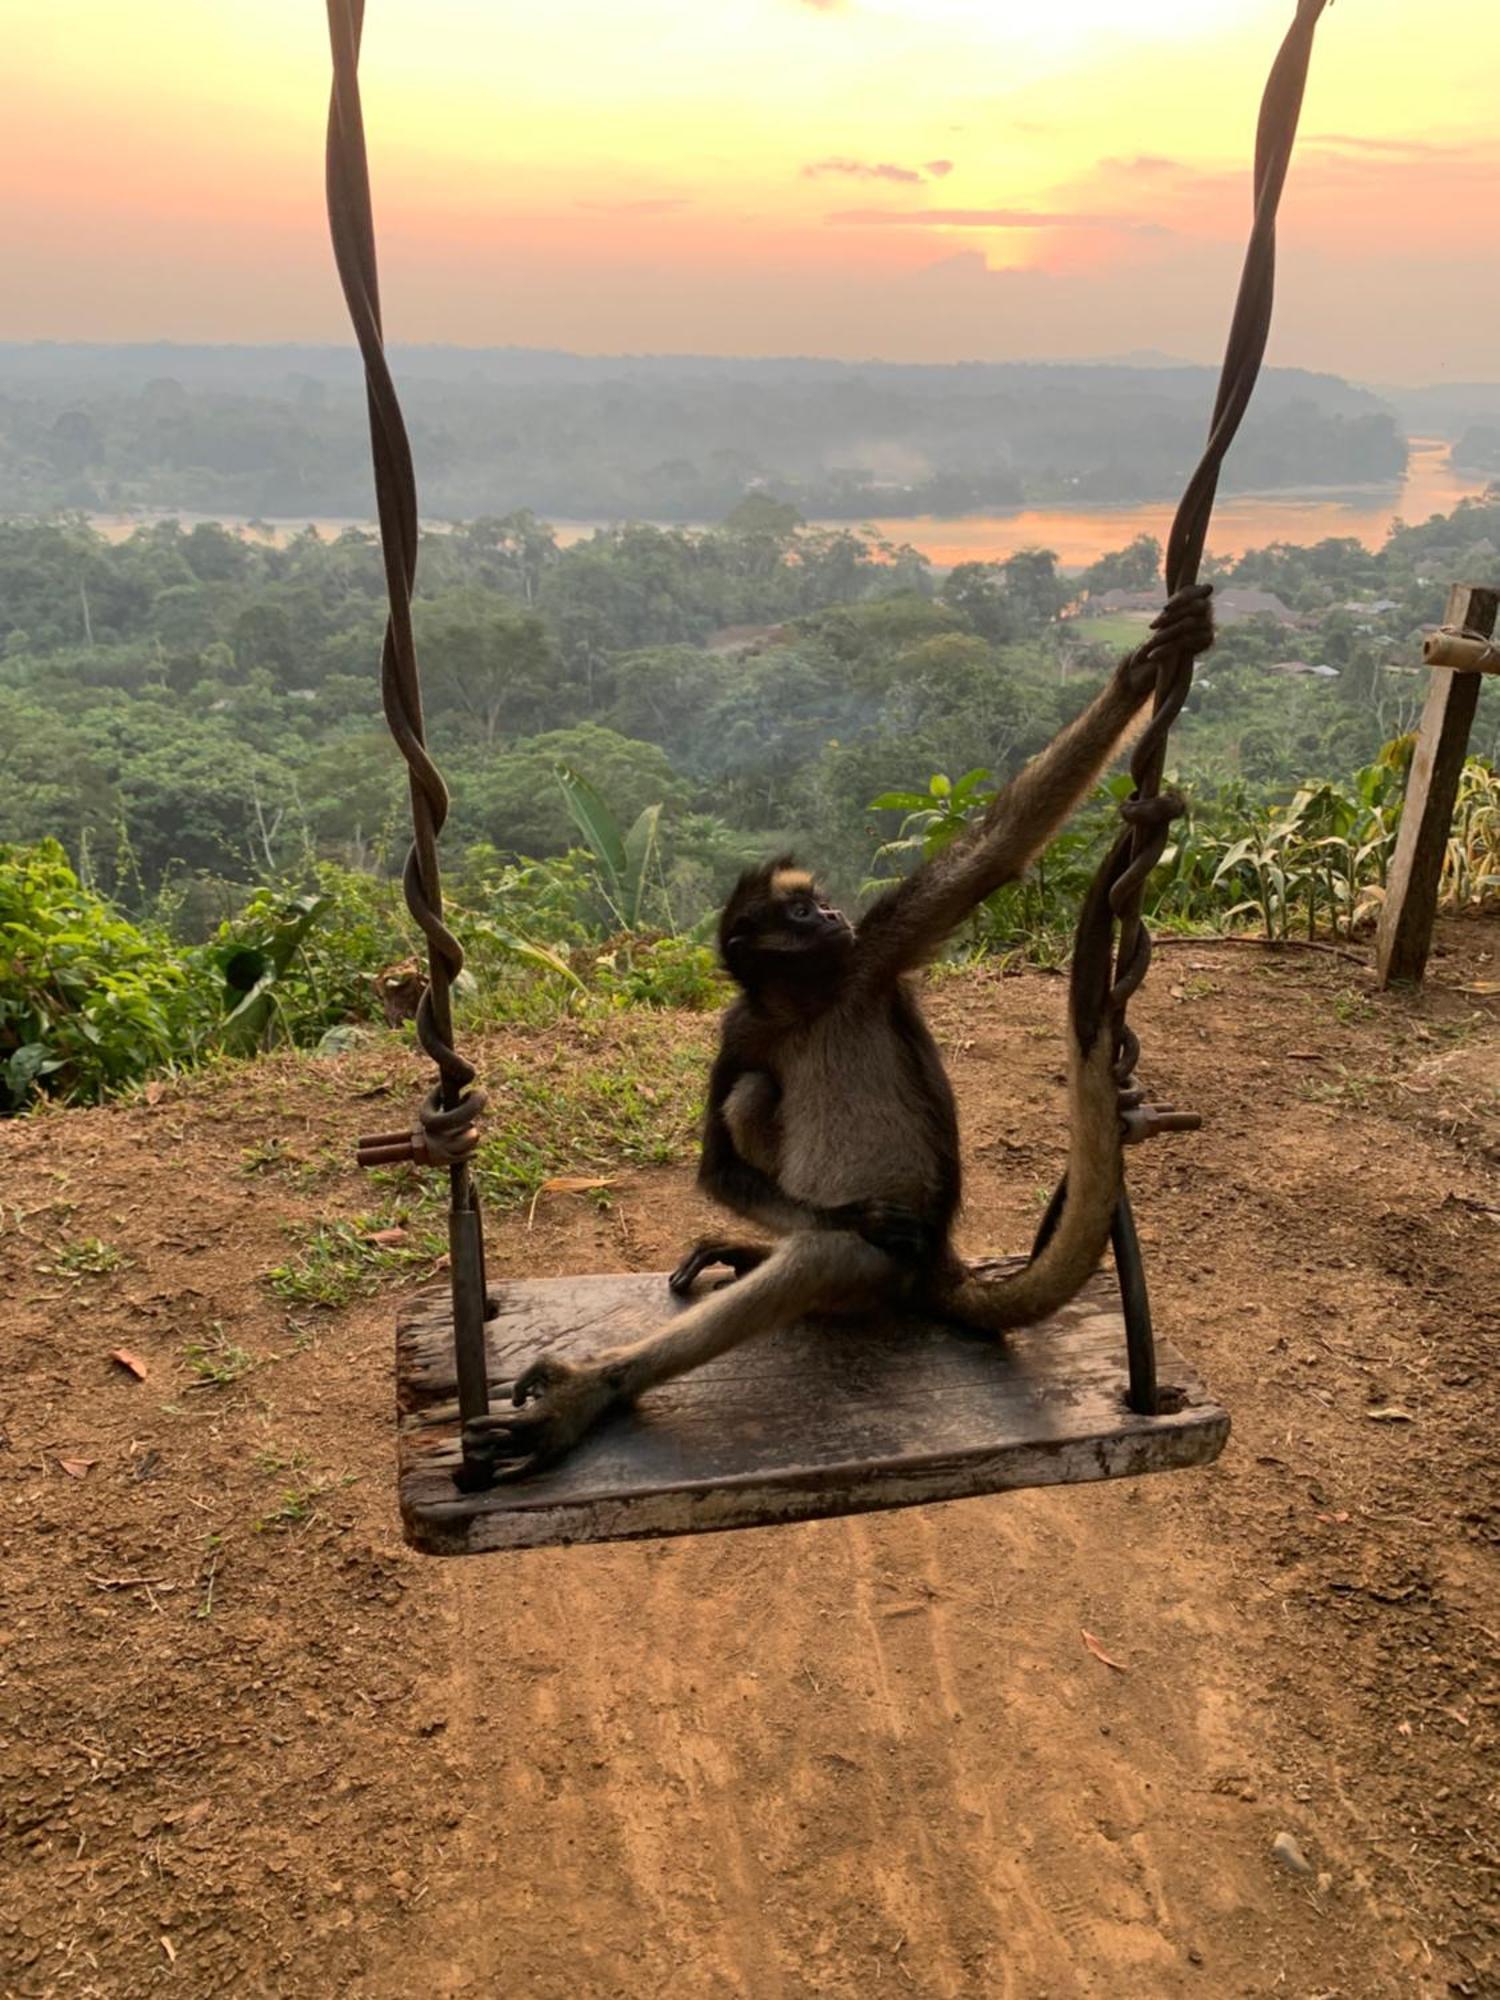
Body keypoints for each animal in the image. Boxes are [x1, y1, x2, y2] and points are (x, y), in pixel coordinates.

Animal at [472, 584, 1224, 1480]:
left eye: (822, 902)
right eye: (799, 912)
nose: (828, 915)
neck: (812, 1000)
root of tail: (939, 1265)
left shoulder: (871, 952)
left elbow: (1000, 849)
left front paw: (1144, 667)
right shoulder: (745, 1023)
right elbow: (721, 1166)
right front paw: (854, 1213)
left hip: (886, 1276)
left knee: (826, 1256)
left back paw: (593, 1389)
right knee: (758, 1102)